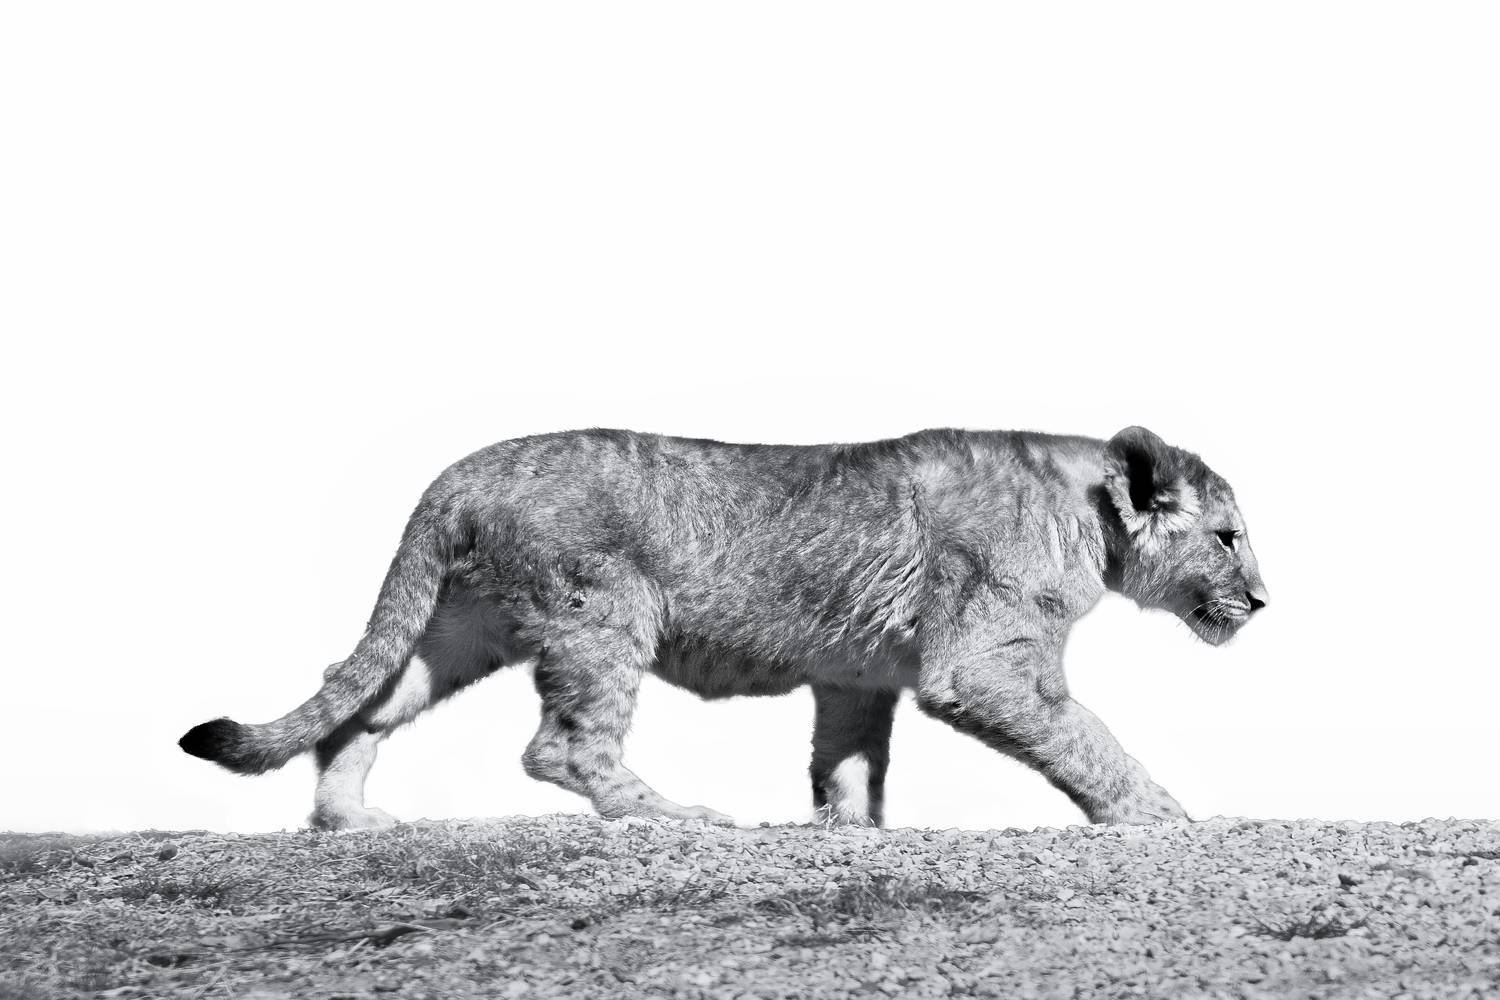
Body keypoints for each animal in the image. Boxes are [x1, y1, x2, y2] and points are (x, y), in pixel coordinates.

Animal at [180, 426, 1268, 830]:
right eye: (1228, 536)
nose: (1263, 602)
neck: (1085, 515)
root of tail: (454, 473)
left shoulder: (857, 675)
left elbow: (849, 763)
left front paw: (846, 832)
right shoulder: (983, 660)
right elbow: (1086, 735)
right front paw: (1160, 813)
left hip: (458, 629)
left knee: (358, 698)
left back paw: (350, 819)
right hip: (601, 608)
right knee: (560, 744)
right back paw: (674, 814)